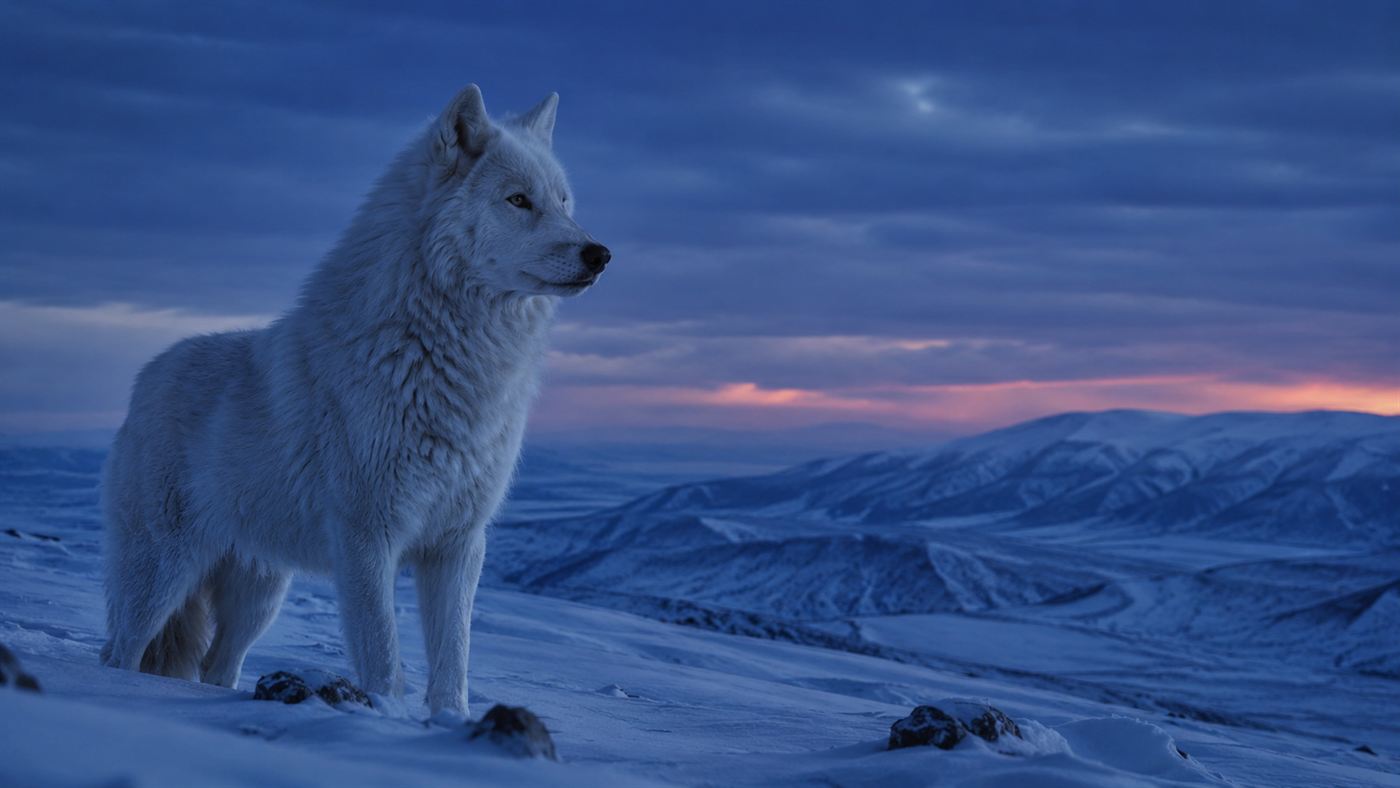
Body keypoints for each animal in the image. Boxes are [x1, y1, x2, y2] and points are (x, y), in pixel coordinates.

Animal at [99, 84, 608, 719]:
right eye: (518, 200)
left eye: (563, 201)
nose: (600, 254)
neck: (442, 358)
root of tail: (145, 379)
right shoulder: (368, 539)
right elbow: (384, 658)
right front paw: (386, 719)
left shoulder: (458, 544)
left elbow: (453, 665)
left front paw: (451, 725)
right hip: (162, 574)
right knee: (120, 649)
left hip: (260, 596)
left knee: (218, 667)